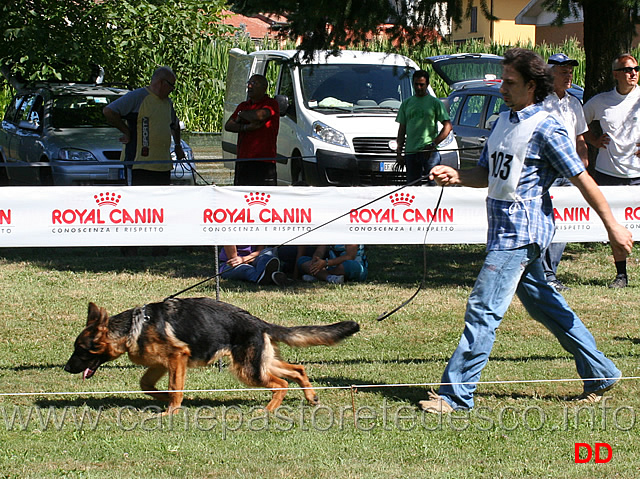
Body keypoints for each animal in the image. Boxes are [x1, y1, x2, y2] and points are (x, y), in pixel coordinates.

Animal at [64, 298, 360, 414]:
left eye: (80, 349)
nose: (66, 369)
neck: (132, 328)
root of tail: (259, 323)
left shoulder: (177, 358)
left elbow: (174, 388)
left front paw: (171, 410)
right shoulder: (161, 364)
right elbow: (147, 385)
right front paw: (169, 401)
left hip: (247, 370)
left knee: (282, 383)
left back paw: (268, 410)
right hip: (259, 364)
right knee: (297, 369)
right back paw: (311, 397)